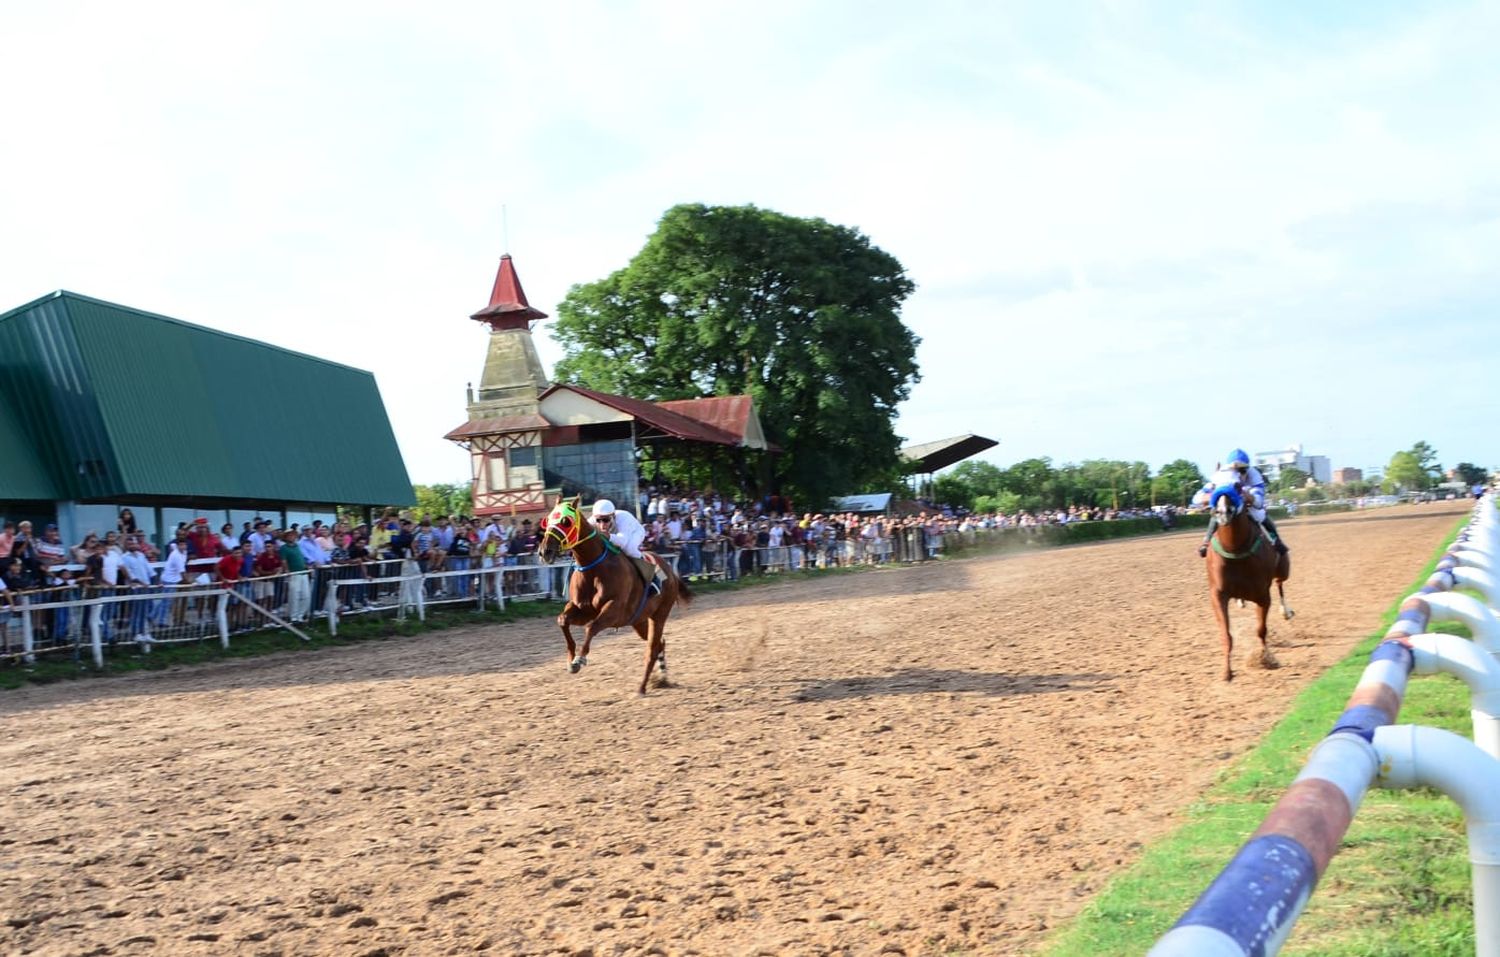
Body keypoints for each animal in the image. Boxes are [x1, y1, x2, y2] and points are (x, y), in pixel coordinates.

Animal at [537, 498, 693, 693]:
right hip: (639, 620)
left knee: (652, 648)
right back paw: (662, 677)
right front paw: (571, 659)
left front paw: (580, 659)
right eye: (548, 519)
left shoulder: (614, 610)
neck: (594, 568)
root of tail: (671, 572)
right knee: (660, 644)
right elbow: (563, 620)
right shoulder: (583, 609)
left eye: (566, 521)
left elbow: (591, 627)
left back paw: (642, 687)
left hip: (659, 615)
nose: (545, 551)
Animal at [1200, 486, 1296, 684]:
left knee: (1280, 583)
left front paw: (1266, 659)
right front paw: (1226, 672)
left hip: (1283, 570)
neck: (1235, 551)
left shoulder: (1263, 596)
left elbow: (1261, 630)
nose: (1223, 512)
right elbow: (1226, 635)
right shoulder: (1218, 595)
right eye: (1214, 486)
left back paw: (1286, 611)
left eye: (1236, 485)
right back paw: (1241, 601)